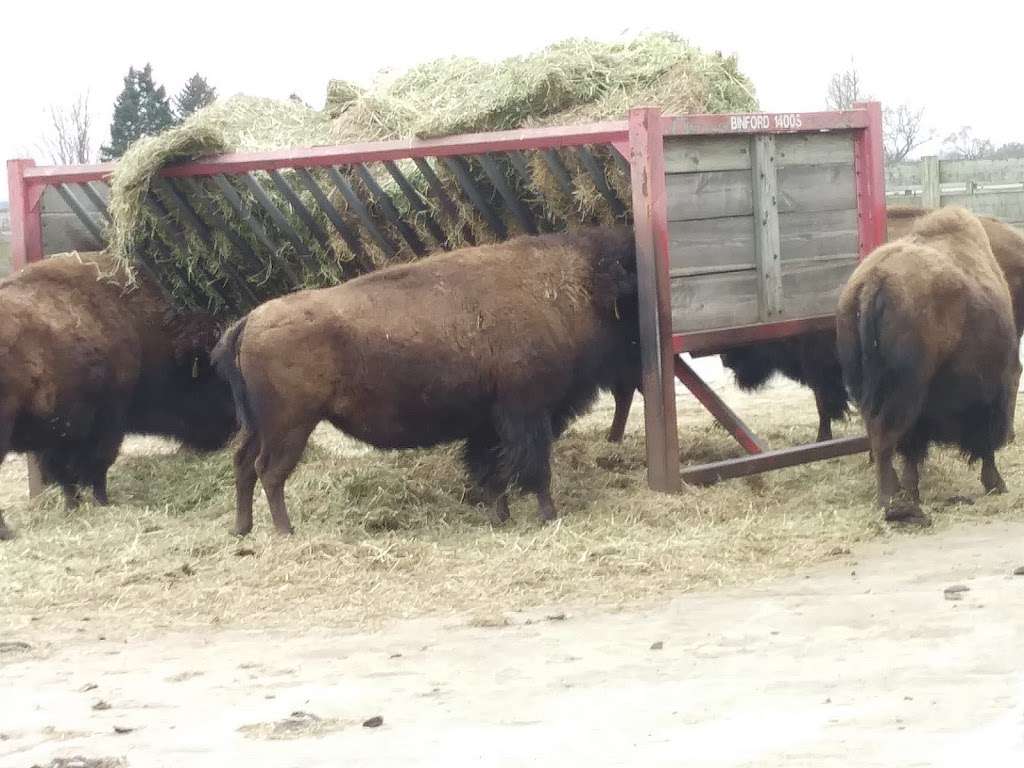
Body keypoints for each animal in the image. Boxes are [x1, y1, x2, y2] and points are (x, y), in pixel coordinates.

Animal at [0, 253, 235, 540]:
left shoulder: (59, 433)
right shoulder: (109, 422)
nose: (233, 426)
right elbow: (97, 466)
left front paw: (73, 507)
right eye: (213, 381)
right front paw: (102, 501)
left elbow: (67, 475)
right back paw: (7, 532)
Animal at [211, 228, 638, 536]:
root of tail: (249, 321)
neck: (573, 288)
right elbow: (533, 468)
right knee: (269, 471)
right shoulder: (528, 413)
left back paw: (242, 530)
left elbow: (491, 469)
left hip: (261, 427)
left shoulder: (488, 424)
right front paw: (548, 515)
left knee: (244, 464)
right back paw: (285, 531)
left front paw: (500, 516)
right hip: (291, 426)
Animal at [835, 207, 1019, 524]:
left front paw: (913, 488)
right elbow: (985, 441)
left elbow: (912, 450)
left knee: (878, 434)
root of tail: (874, 280)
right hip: (905, 390)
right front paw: (996, 482)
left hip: (871, 387)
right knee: (884, 435)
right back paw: (892, 503)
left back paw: (898, 496)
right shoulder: (996, 386)